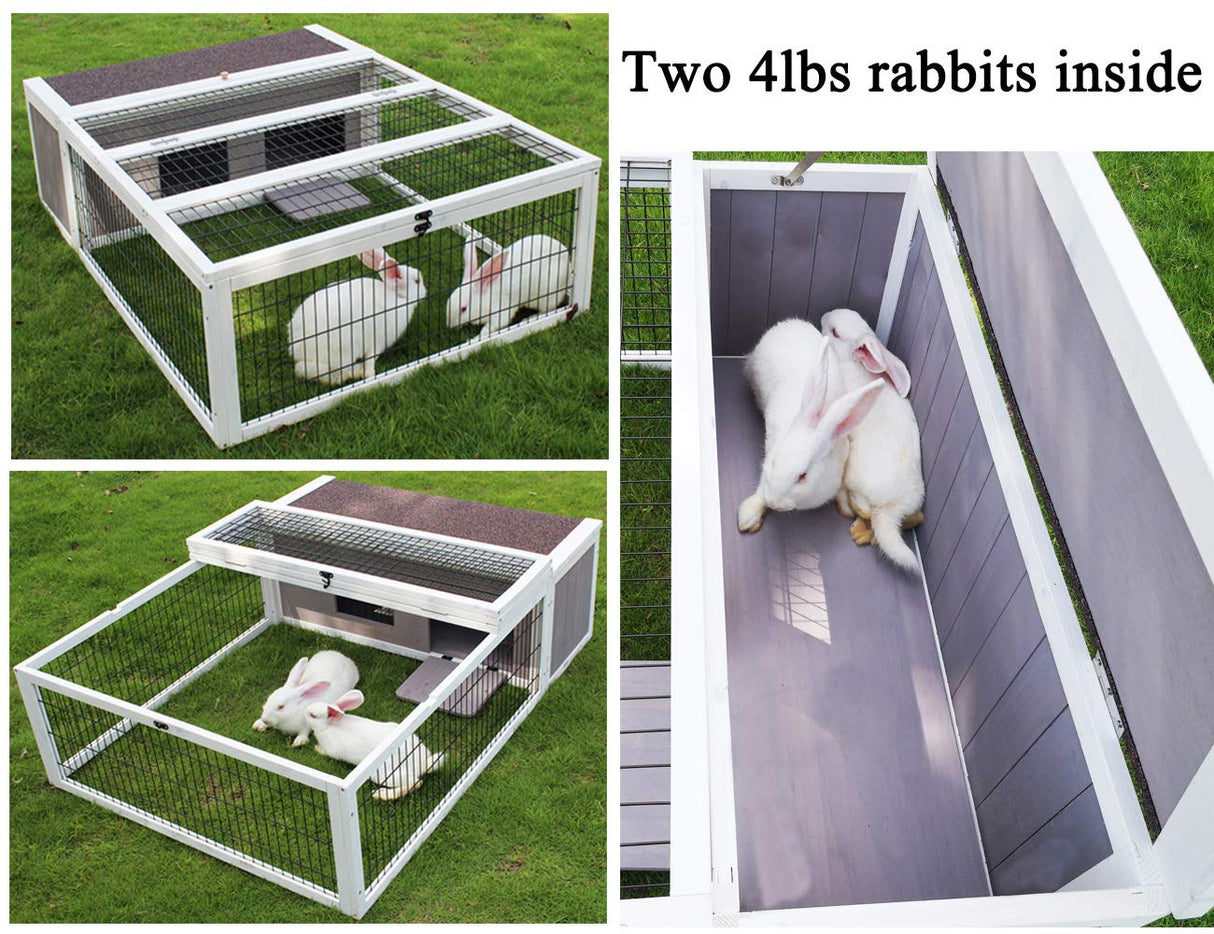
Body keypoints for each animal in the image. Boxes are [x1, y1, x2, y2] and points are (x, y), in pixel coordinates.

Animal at [288, 248, 426, 386]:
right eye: (417, 281)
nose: (425, 291)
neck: (397, 296)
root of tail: (298, 349)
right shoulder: (378, 341)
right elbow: (371, 359)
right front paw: (370, 375)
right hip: (344, 349)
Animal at [306, 690, 445, 801]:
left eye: (313, 715)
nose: (304, 711)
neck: (329, 726)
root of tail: (424, 763)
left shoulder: (331, 750)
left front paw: (317, 748)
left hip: (383, 774)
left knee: (416, 783)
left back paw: (382, 795)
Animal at [736, 318, 885, 534]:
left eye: (802, 476)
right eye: (774, 461)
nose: (773, 502)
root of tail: (789, 323)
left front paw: (846, 507)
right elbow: (762, 485)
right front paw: (749, 516)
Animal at [821, 308, 926, 573]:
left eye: (835, 332)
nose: (823, 316)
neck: (852, 365)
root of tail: (890, 508)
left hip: (854, 479)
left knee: (858, 509)